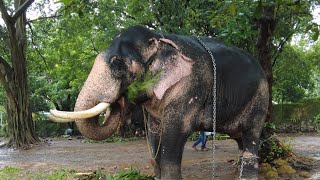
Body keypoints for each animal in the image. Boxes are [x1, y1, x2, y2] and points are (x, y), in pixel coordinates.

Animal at [50, 25, 268, 180]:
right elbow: (155, 135)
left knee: (250, 136)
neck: (160, 37)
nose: (119, 100)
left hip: (260, 99)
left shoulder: (189, 88)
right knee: (240, 138)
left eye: (117, 63)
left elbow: (174, 135)